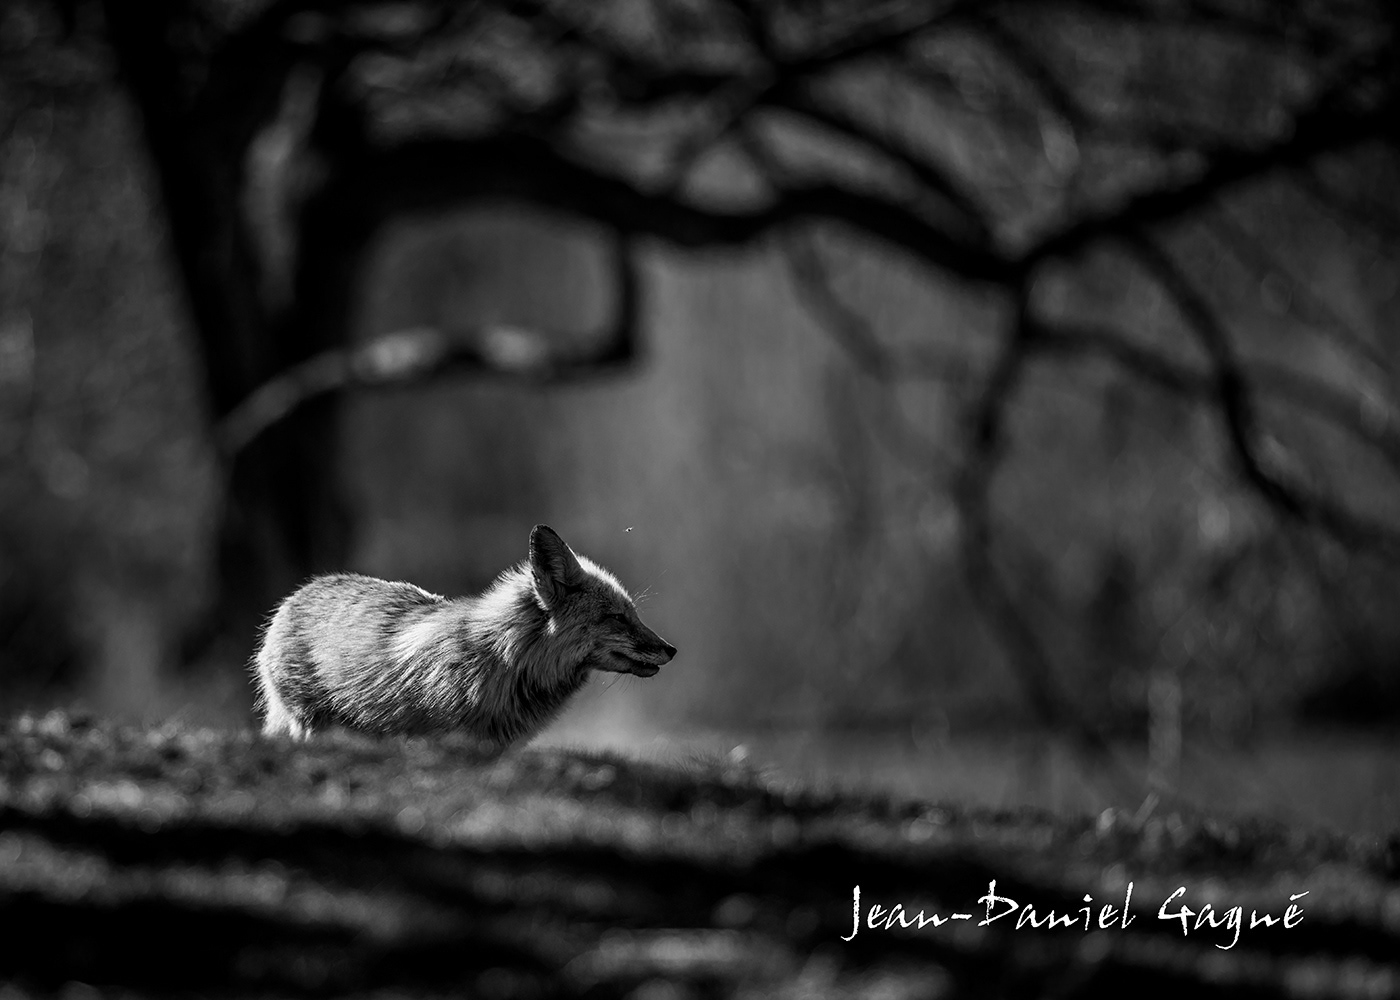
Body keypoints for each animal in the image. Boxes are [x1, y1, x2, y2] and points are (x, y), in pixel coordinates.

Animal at [251, 524, 675, 747]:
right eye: (617, 617)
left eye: (633, 614)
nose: (671, 649)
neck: (502, 660)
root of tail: (298, 594)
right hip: (312, 727)